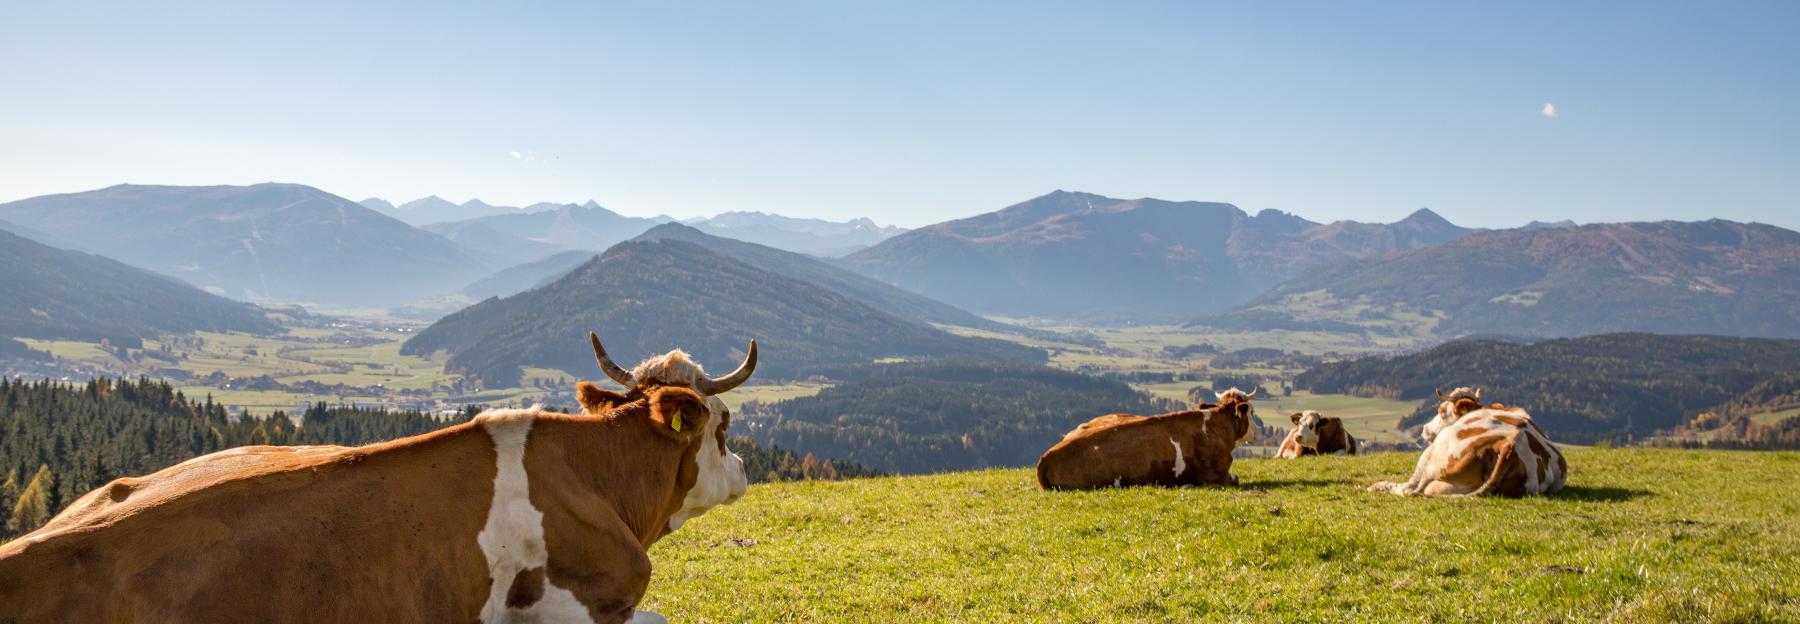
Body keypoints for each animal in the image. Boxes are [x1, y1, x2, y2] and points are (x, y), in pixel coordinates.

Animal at [1036, 388, 1274, 492]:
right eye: (1252, 412)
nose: (1259, 432)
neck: (1216, 425)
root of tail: (1046, 457)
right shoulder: (1215, 473)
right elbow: (1235, 478)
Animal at [1368, 386, 1569, 499]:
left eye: (1441, 410)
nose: (1425, 429)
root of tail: (1508, 445)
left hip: (1429, 461)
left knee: (1408, 489)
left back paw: (1376, 487)